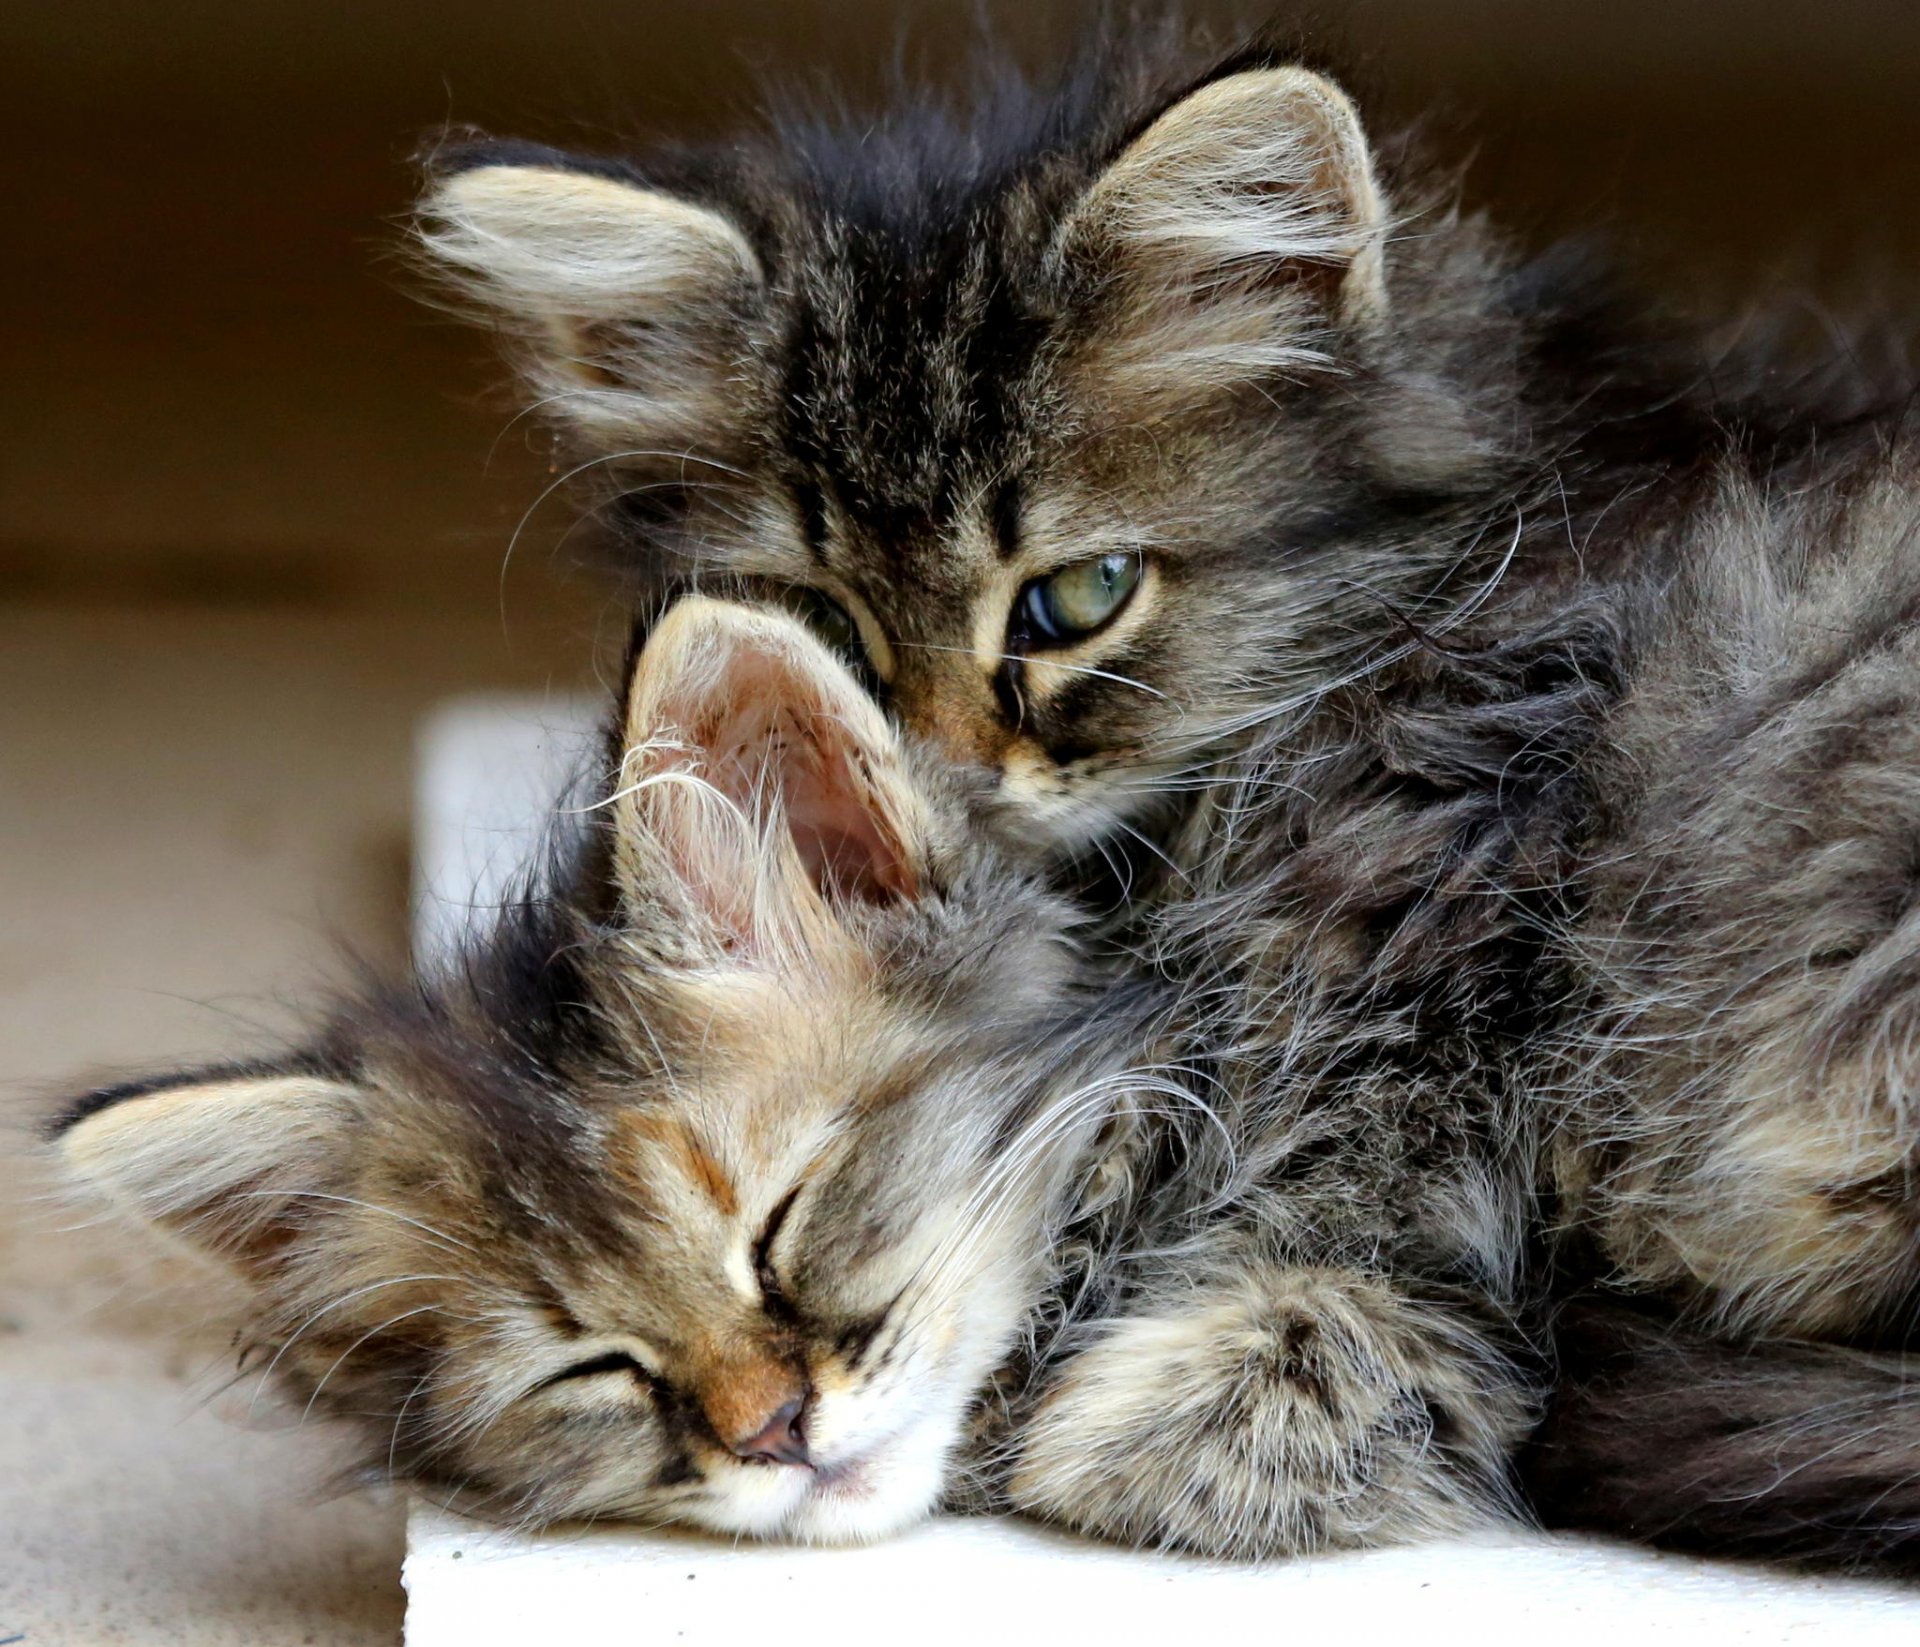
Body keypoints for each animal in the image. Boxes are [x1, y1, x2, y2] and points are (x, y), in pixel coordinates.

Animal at [408, 22, 1920, 1566]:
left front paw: (1231, 1390)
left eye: (1084, 595)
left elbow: (1370, 1141)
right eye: (825, 612)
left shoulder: (1458, 821)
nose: (948, 767)